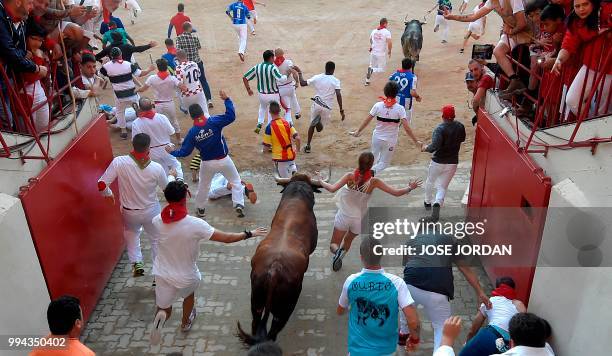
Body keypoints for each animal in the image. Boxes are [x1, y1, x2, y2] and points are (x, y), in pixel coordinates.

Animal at [237, 170, 330, 348]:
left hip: (256, 301)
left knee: (255, 322)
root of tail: (274, 270)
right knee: (274, 329)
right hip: (286, 307)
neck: (296, 200)